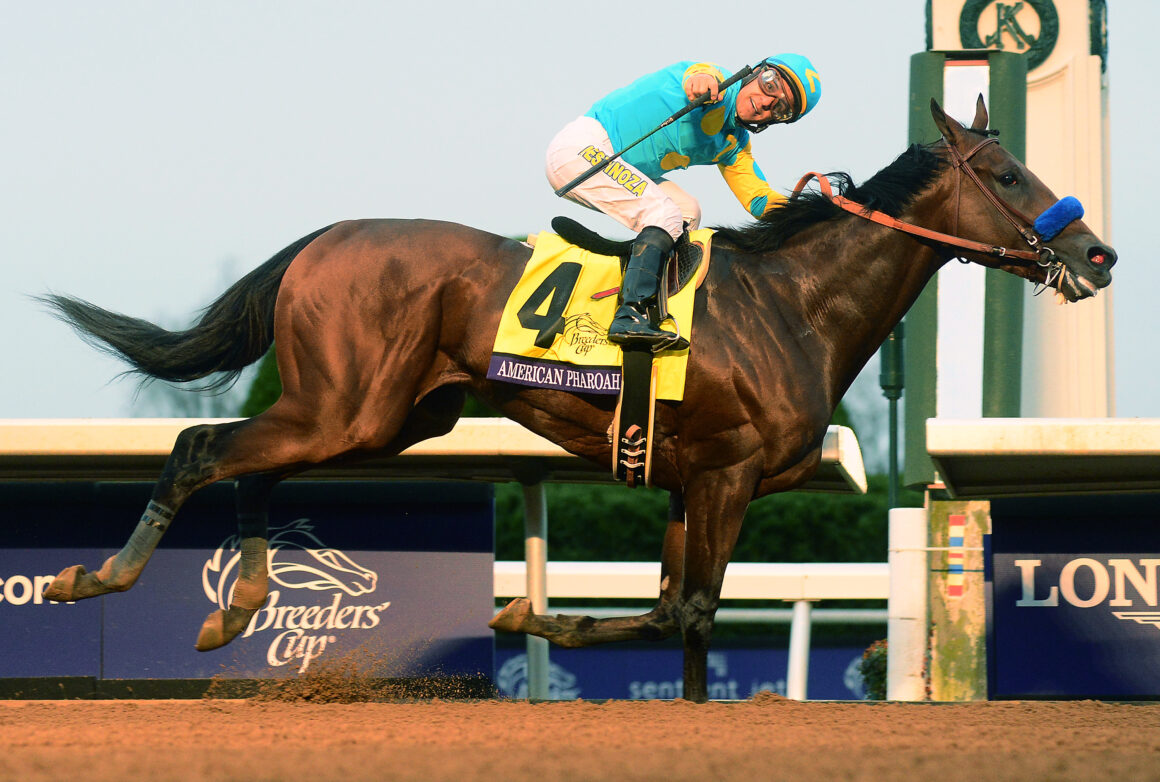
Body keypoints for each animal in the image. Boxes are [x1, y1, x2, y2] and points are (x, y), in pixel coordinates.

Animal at [39, 98, 1115, 702]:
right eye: (1008, 173)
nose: (1097, 252)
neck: (791, 302)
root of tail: (325, 238)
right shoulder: (726, 475)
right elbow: (681, 610)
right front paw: (524, 615)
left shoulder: (689, 478)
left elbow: (686, 615)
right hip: (348, 406)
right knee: (199, 446)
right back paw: (94, 577)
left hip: (381, 417)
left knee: (246, 464)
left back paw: (239, 607)